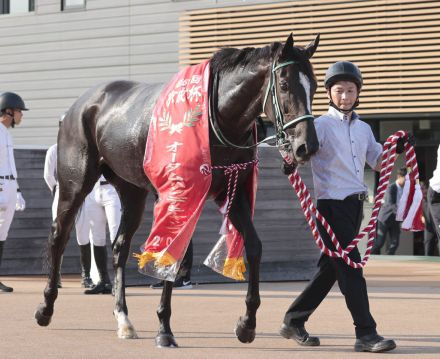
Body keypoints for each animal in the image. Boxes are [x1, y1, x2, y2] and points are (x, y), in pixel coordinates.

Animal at [34, 32, 320, 348]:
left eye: (315, 86)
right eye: (284, 84)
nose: (306, 146)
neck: (216, 117)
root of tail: (81, 105)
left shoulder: (232, 193)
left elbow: (254, 246)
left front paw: (247, 324)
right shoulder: (179, 197)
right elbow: (173, 254)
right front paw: (164, 329)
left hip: (131, 190)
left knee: (120, 246)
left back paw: (123, 318)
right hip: (75, 182)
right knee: (59, 235)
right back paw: (46, 307)